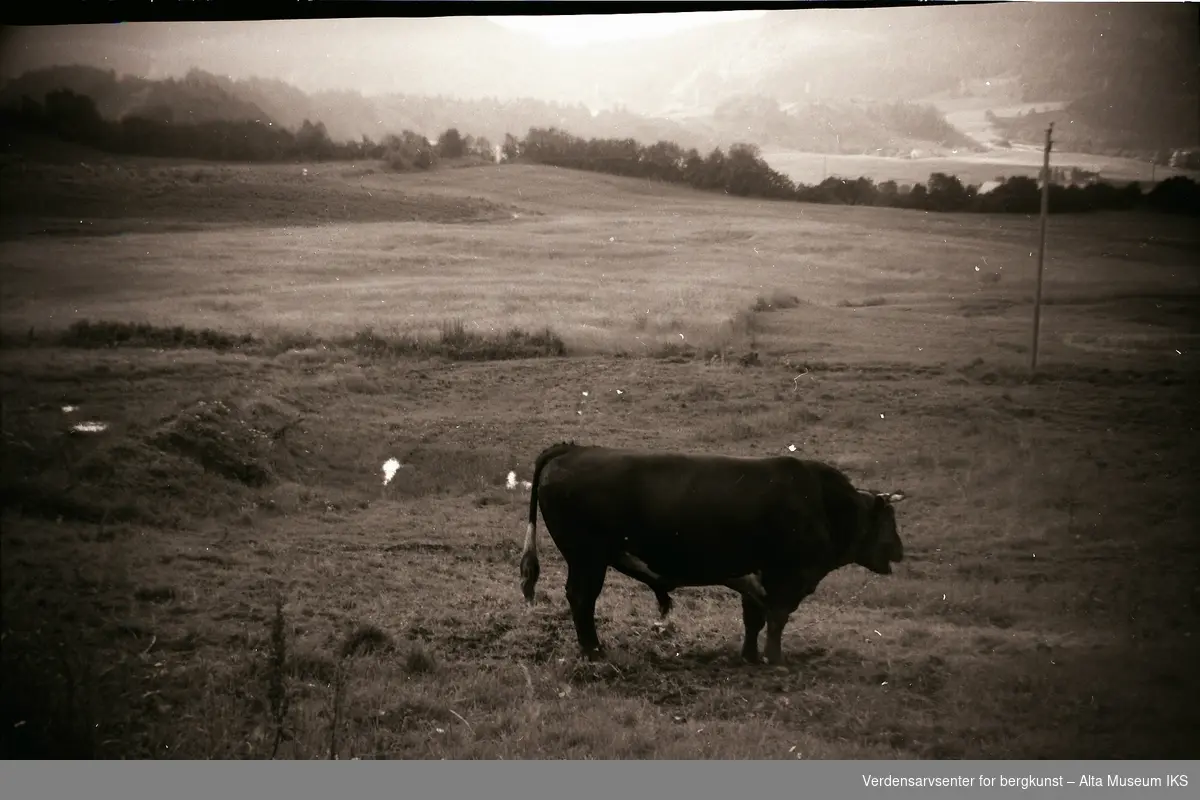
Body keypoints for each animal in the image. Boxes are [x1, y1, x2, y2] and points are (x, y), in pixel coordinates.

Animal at [520, 441, 902, 666]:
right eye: (888, 520)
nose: (900, 551)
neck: (820, 503)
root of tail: (573, 449)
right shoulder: (786, 577)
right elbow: (776, 619)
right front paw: (774, 660)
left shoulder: (756, 574)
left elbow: (754, 618)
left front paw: (750, 657)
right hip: (588, 559)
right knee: (582, 599)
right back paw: (594, 650)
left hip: (587, 559)